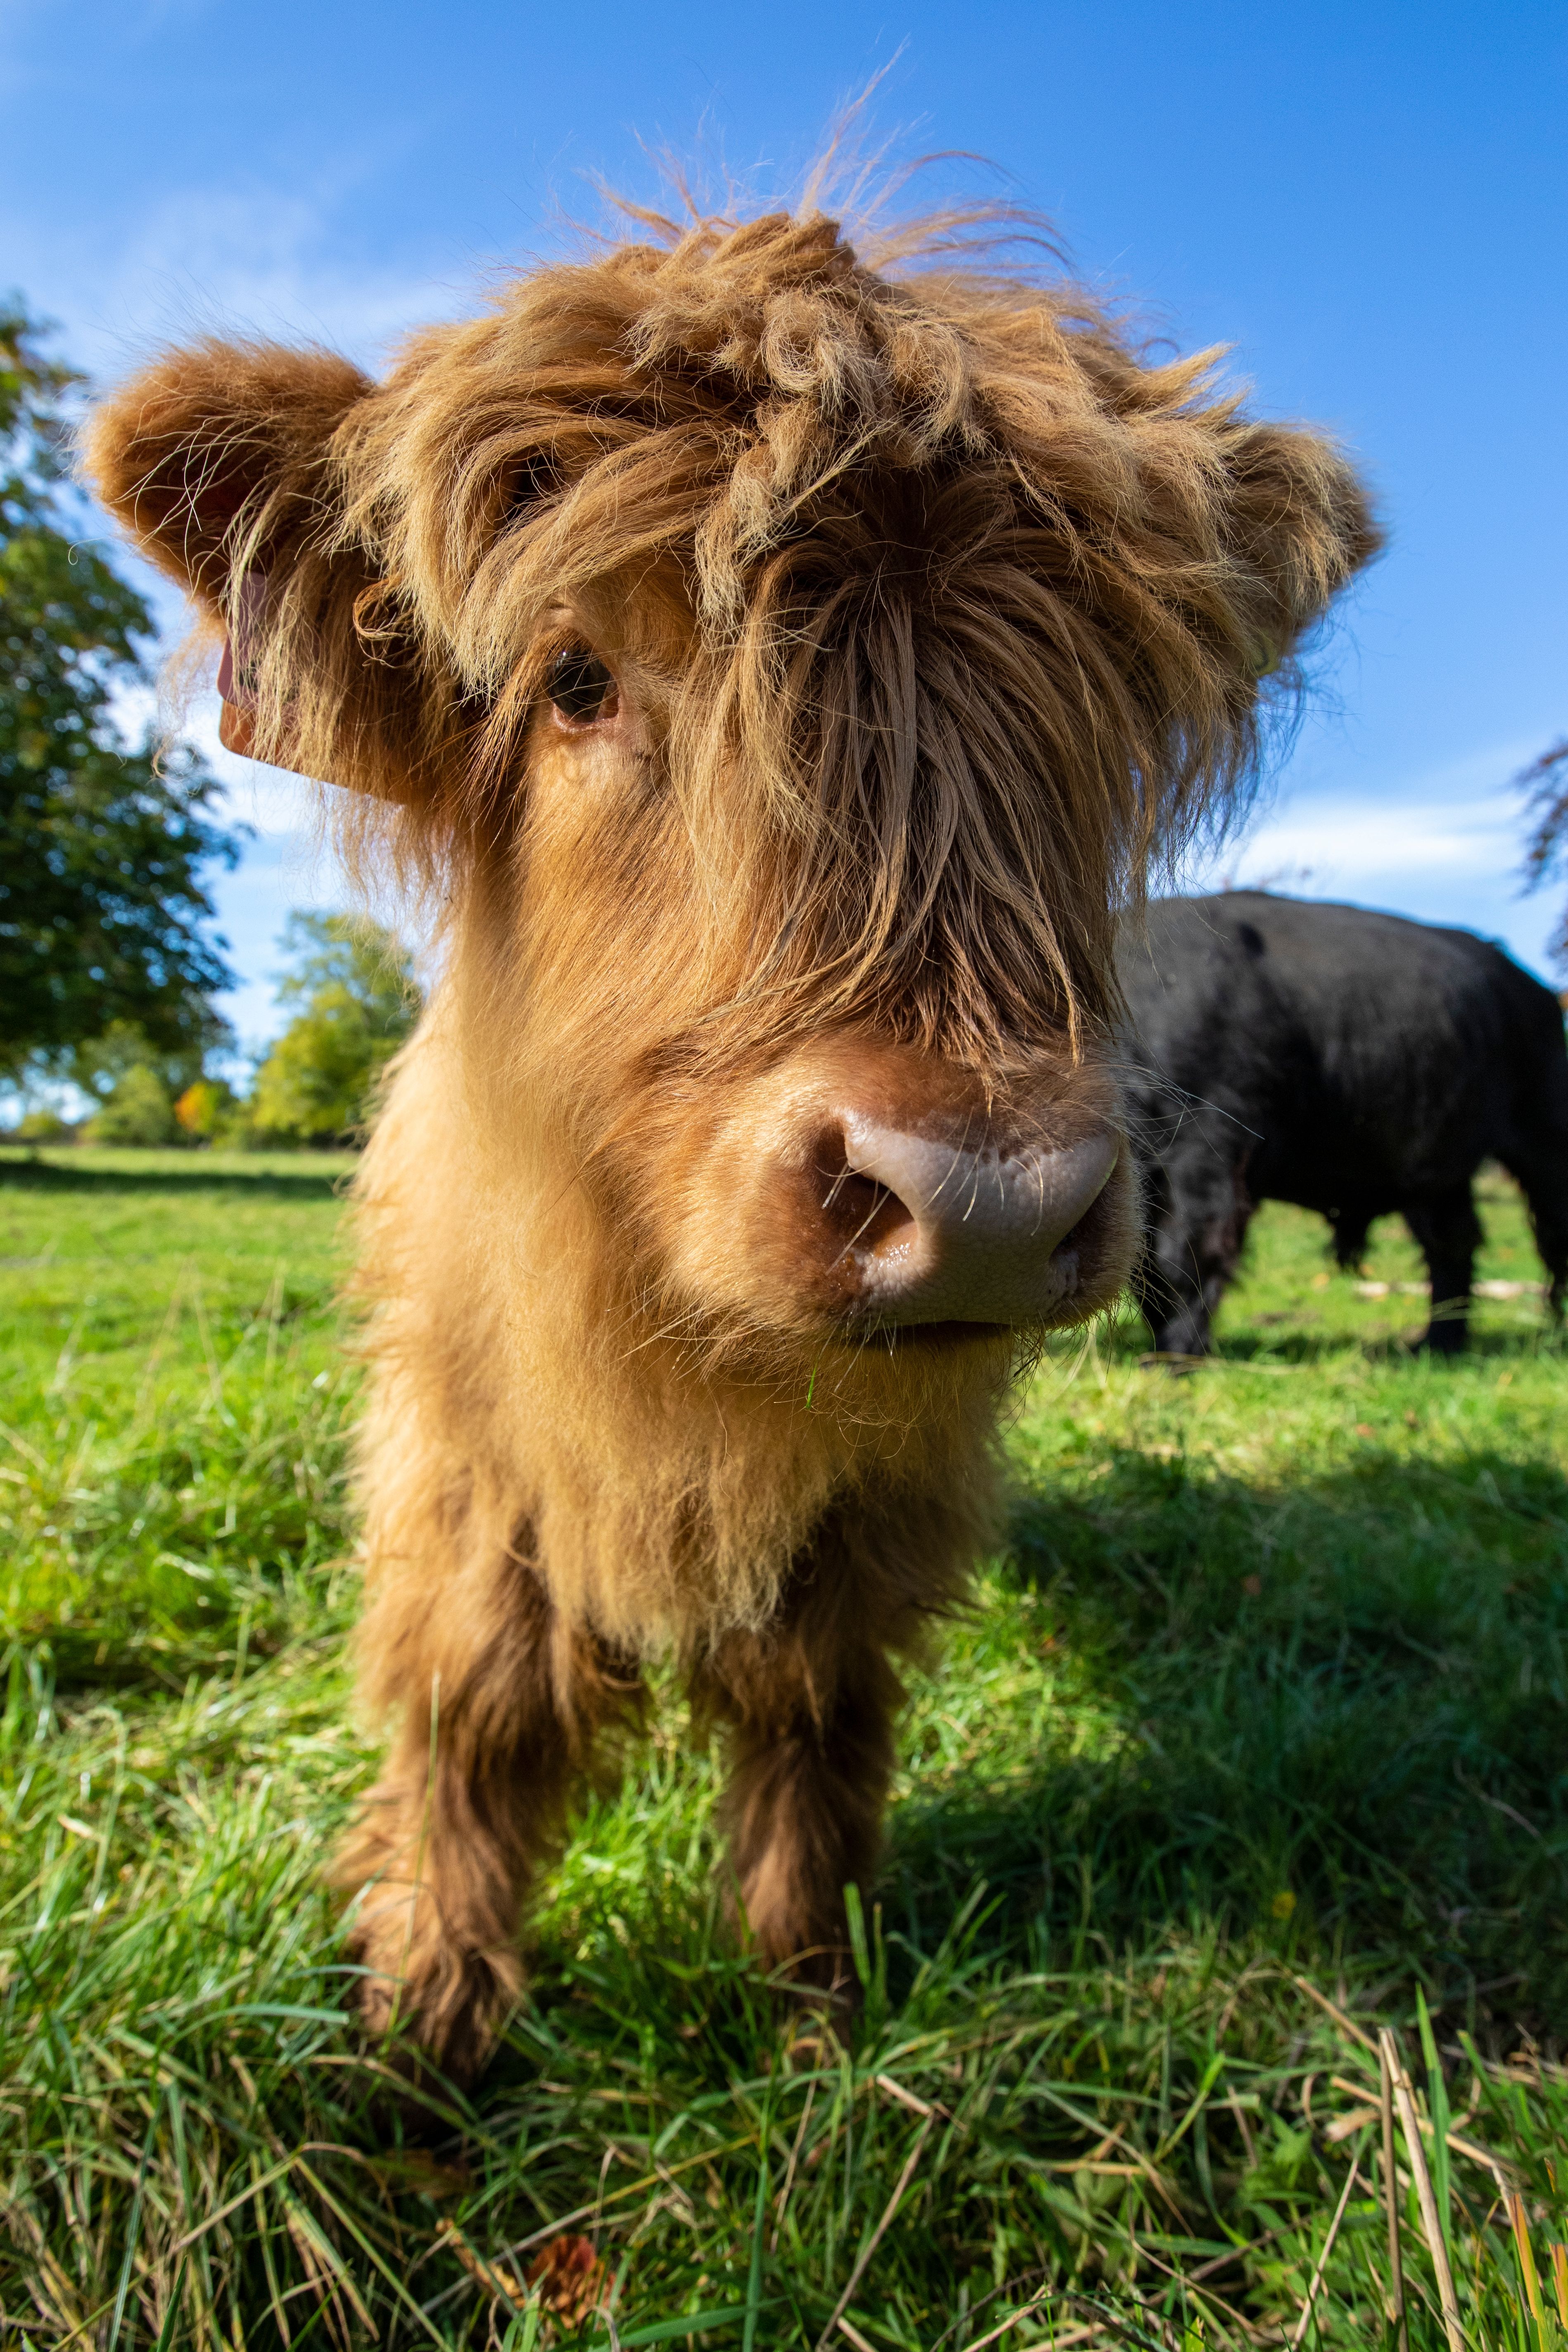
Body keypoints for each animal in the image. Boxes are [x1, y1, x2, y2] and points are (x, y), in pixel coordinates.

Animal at [85, 201, 1376, 2080]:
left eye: (1091, 706)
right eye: (575, 678)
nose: (981, 1200)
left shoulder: (887, 1480)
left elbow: (815, 1709)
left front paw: (813, 2006)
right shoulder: (462, 1424)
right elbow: (475, 1705)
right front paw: (424, 2023)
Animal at [1119, 891, 1568, 1356]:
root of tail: (1534, 988)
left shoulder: (1206, 1154)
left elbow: (1182, 1257)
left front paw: (1175, 1354)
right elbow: (1147, 1269)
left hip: (1545, 1138)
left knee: (1552, 1230)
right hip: (1435, 1167)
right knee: (1451, 1239)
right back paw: (1435, 1343)